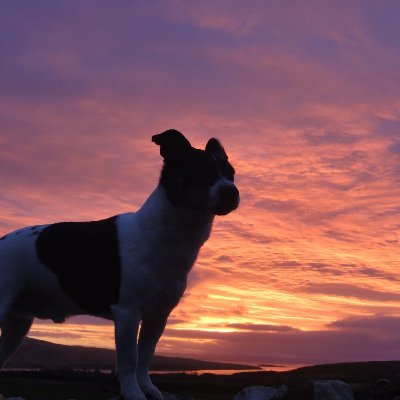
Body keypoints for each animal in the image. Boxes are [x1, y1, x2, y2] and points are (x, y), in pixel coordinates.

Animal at [0, 130, 239, 398]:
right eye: (200, 170)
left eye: (231, 173)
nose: (232, 192)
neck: (164, 234)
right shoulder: (127, 313)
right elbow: (129, 360)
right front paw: (134, 393)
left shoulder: (158, 316)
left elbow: (145, 356)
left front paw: (148, 388)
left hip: (17, 324)